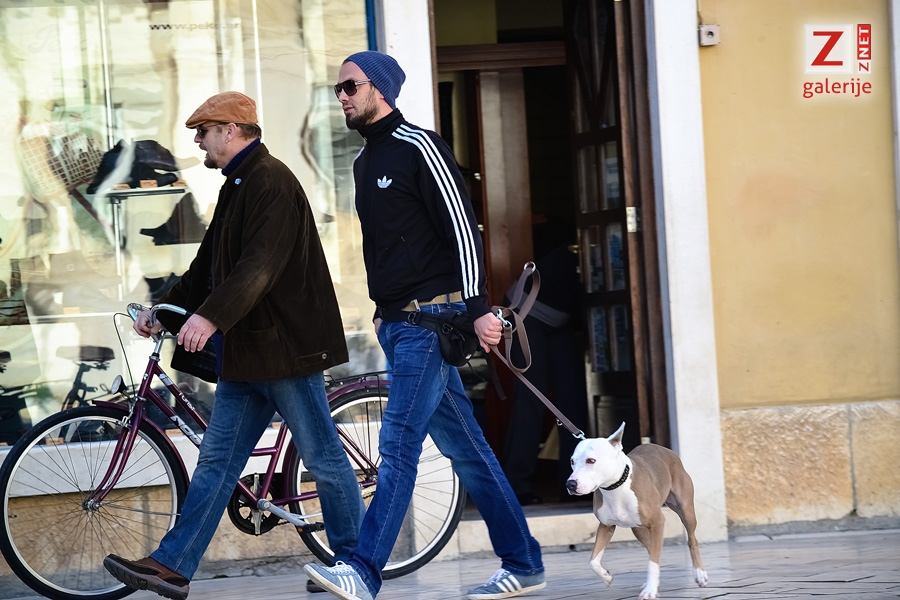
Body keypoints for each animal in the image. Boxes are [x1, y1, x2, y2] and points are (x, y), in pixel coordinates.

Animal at [566, 423, 708, 600]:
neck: (615, 487)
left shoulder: (658, 522)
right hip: (638, 529)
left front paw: (650, 591)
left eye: (591, 461)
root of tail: (665, 449)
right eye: (572, 461)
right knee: (651, 548)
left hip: (686, 511)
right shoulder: (606, 526)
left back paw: (700, 574)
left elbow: (653, 562)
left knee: (691, 540)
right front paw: (607, 577)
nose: (570, 484)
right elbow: (593, 561)